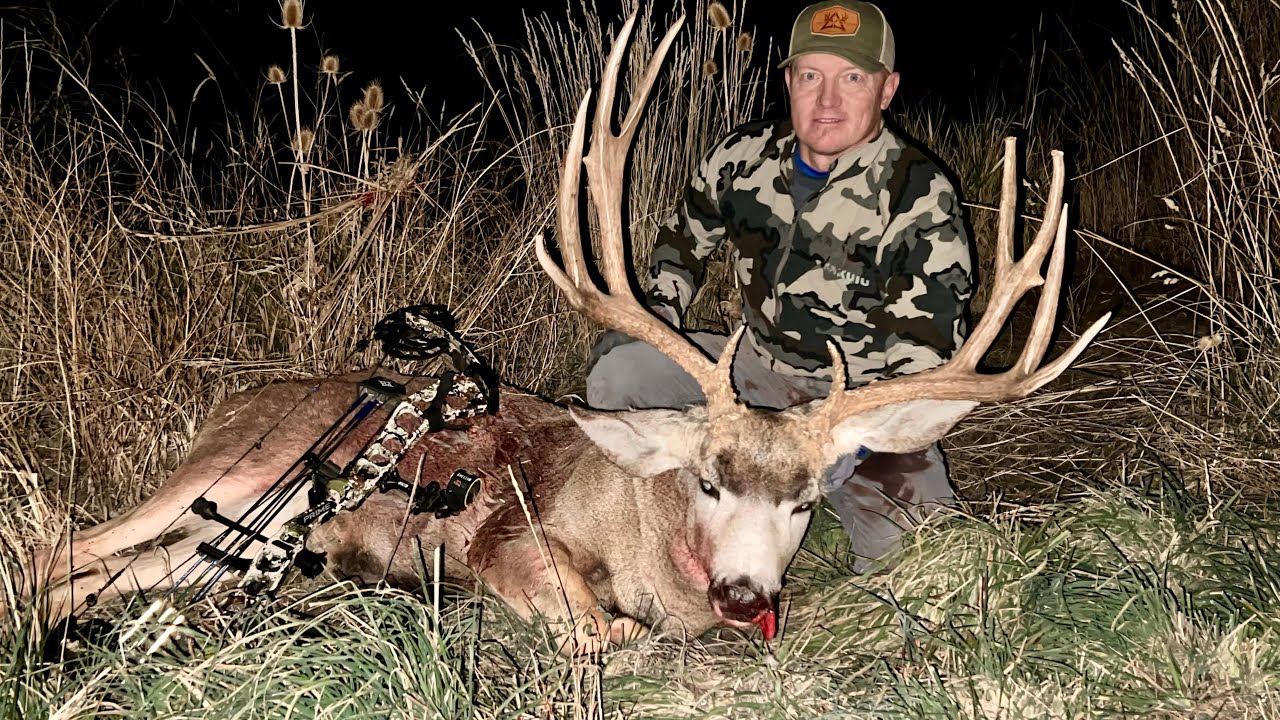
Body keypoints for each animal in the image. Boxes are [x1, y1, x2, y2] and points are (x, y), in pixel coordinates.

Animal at [20, 13, 1108, 656]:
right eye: (705, 481)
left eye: (804, 503)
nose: (743, 592)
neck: (649, 542)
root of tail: (235, 398)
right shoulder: (517, 542)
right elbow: (600, 630)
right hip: (227, 469)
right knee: (57, 544)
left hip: (215, 534)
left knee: (103, 573)